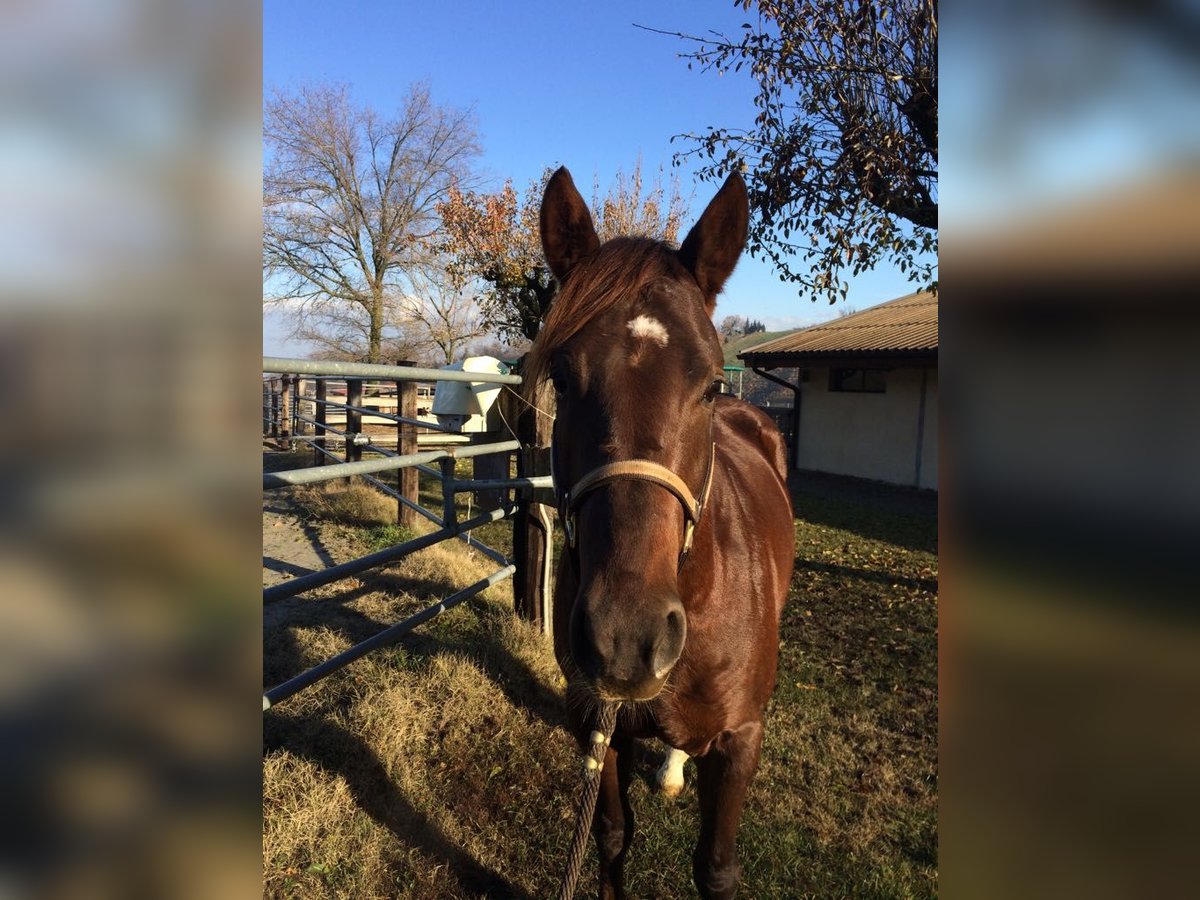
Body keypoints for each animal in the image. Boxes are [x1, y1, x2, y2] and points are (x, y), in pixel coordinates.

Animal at [530, 170, 792, 900]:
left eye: (708, 385)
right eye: (562, 377)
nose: (626, 638)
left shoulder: (741, 743)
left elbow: (717, 870)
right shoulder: (596, 727)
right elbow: (613, 837)